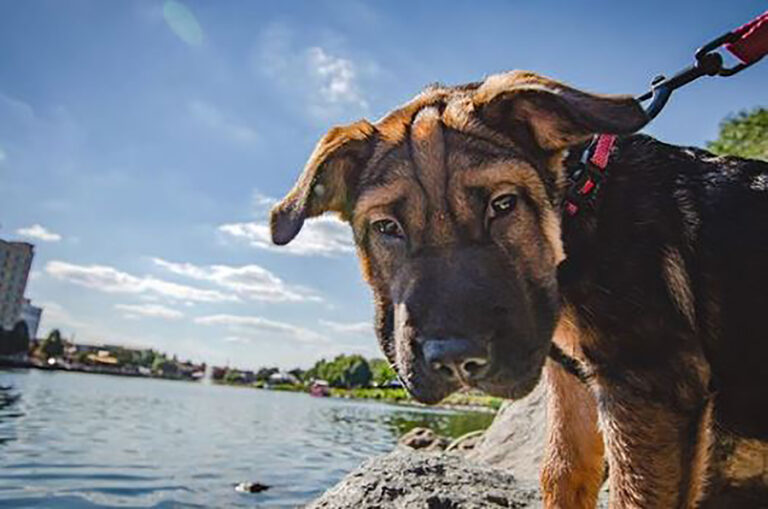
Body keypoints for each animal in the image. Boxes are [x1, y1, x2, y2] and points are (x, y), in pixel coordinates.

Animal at [268, 70, 768, 504]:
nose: (455, 360)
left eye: (504, 204)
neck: (578, 210)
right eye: (387, 227)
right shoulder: (574, 381)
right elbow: (562, 472)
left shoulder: (652, 383)